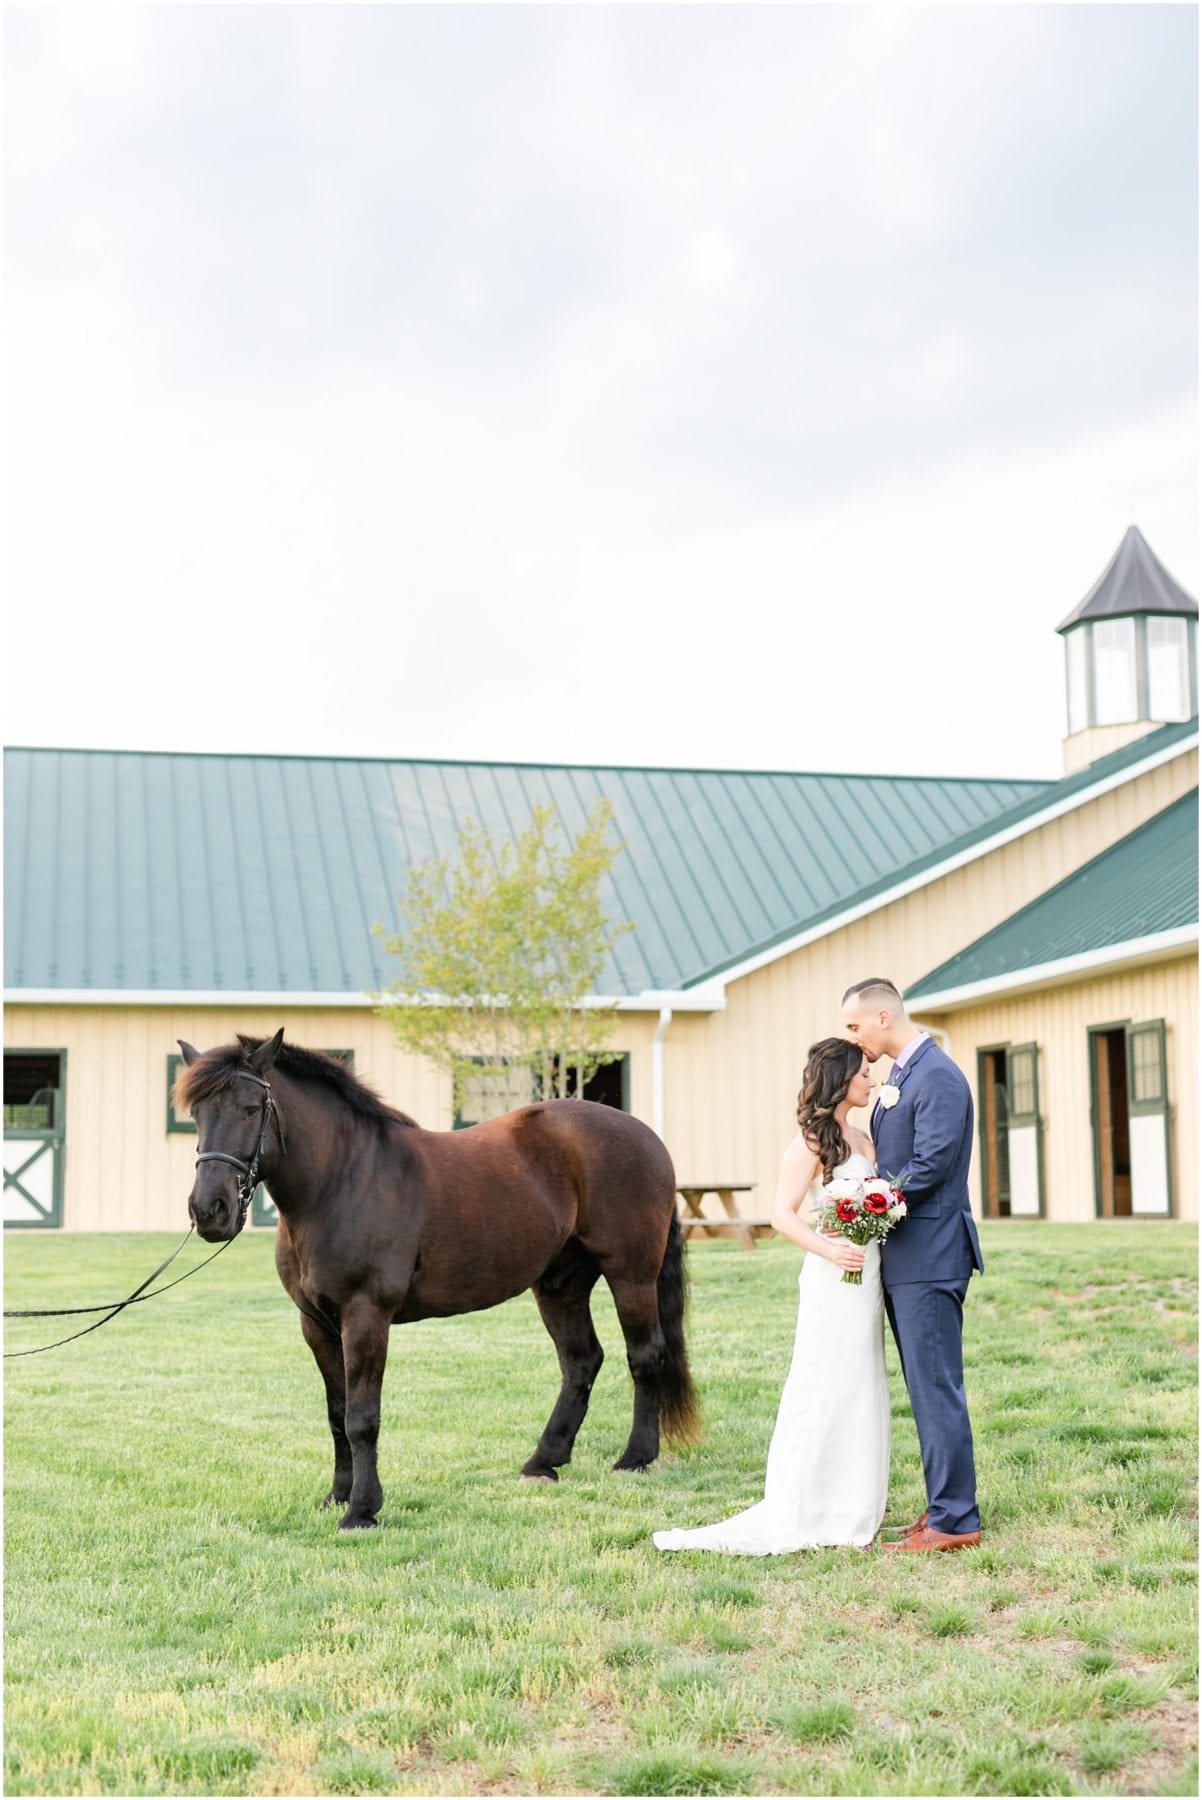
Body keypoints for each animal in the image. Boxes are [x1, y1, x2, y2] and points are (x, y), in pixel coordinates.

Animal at [173, 1036, 698, 1526]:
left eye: (250, 1109)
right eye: (196, 1113)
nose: (210, 1211)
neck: (342, 1181)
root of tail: (645, 1135)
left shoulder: (366, 1316)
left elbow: (361, 1417)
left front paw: (362, 1510)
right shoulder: (316, 1324)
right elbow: (337, 1414)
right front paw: (338, 1495)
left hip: (631, 1274)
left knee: (644, 1355)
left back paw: (635, 1458)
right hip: (559, 1284)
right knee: (581, 1361)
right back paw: (543, 1462)